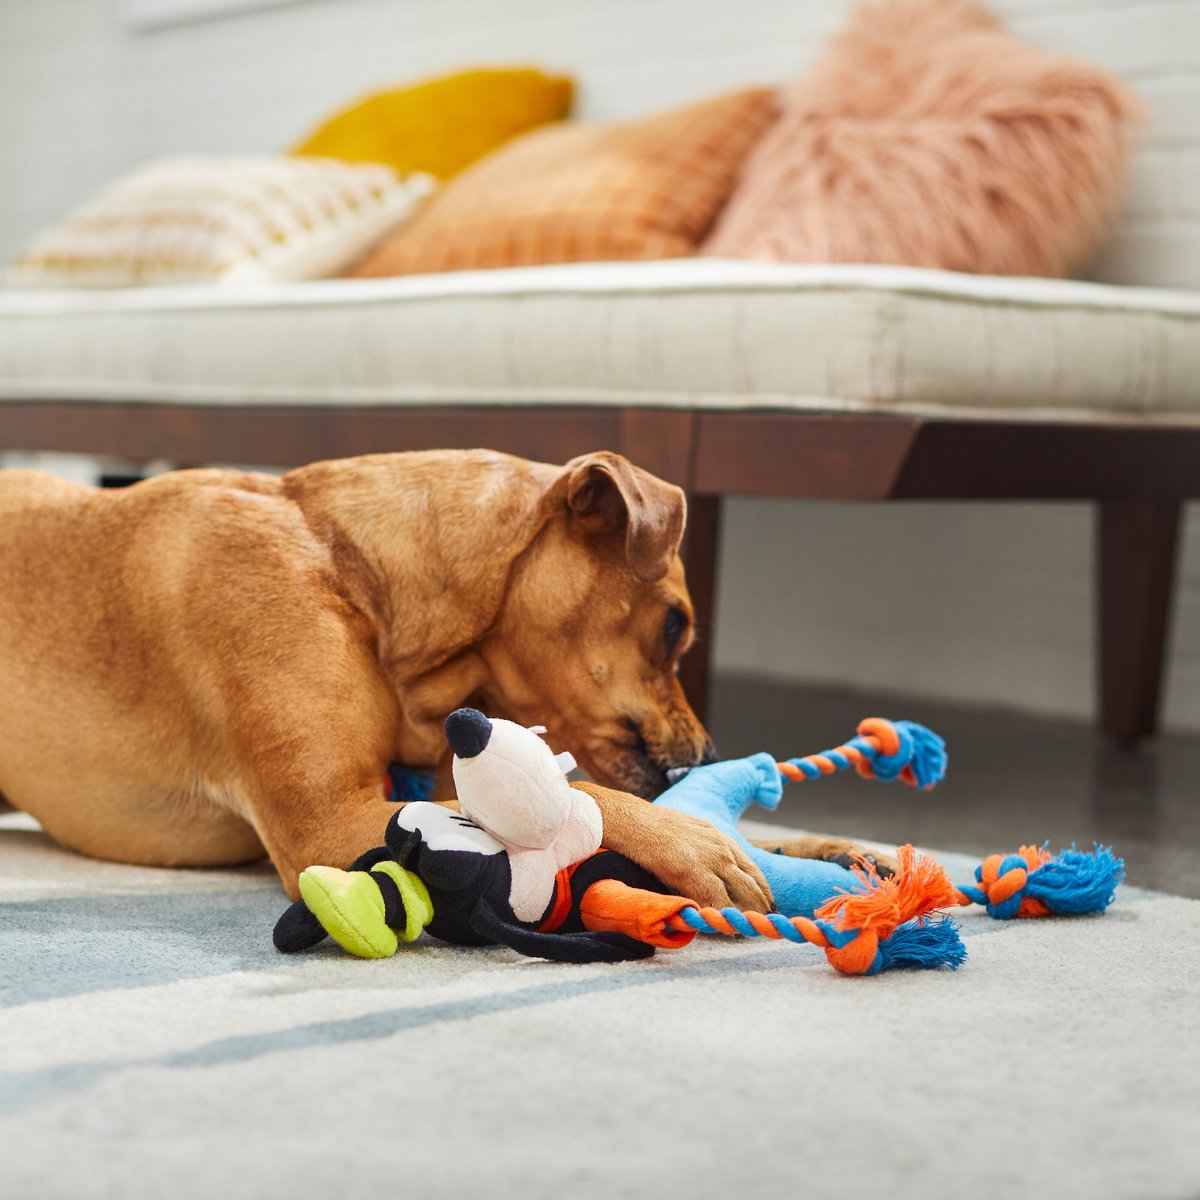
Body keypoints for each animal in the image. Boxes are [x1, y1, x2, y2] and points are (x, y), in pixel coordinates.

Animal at [0, 453, 878, 902]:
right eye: (674, 625)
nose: (710, 758)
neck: (352, 566)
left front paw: (818, 847)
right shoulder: (326, 826)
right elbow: (590, 800)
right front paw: (695, 843)